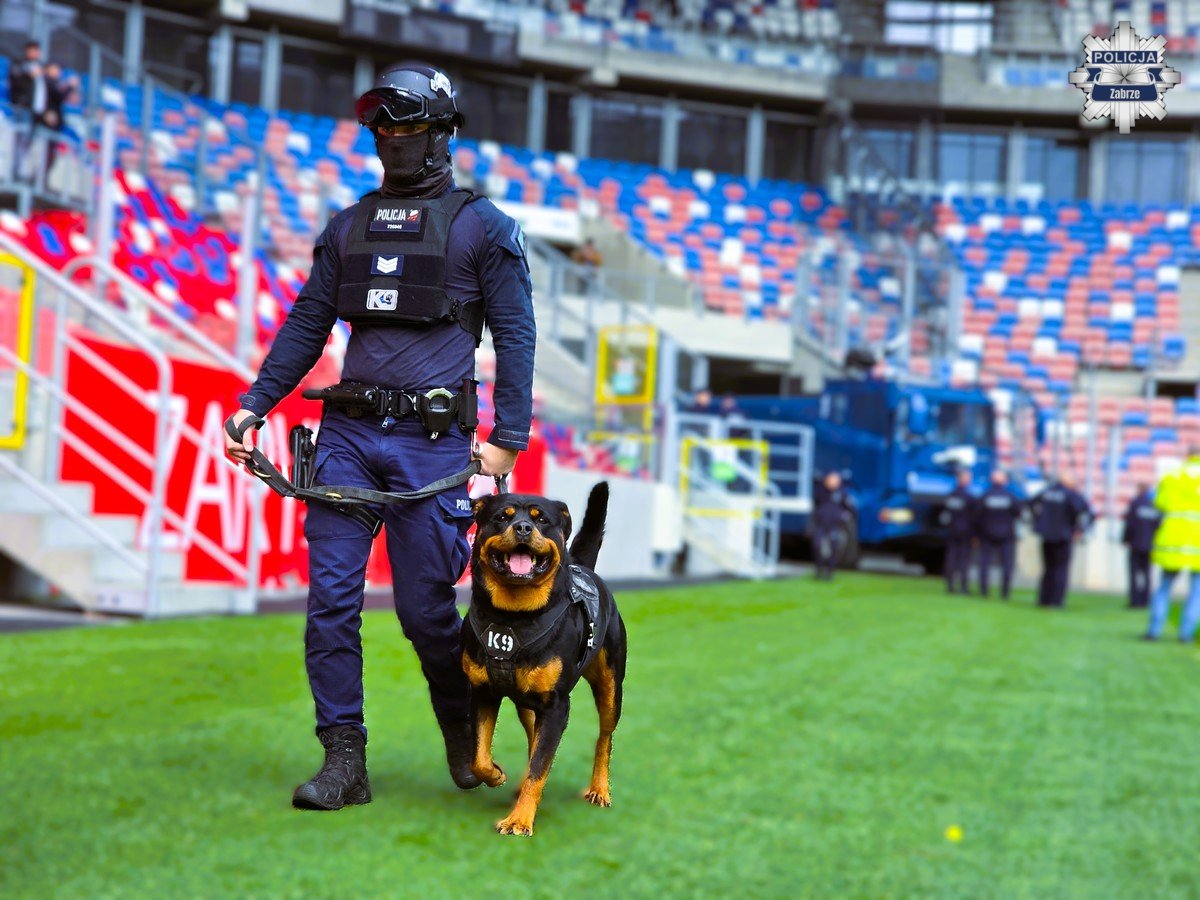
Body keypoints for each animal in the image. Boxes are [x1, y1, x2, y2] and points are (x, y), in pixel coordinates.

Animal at [461, 482, 626, 836]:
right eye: (502, 517)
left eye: (541, 520)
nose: (523, 528)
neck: (513, 615)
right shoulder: (483, 691)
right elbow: (478, 755)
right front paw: (495, 774)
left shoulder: (556, 705)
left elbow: (540, 765)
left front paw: (519, 820)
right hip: (527, 704)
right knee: (532, 735)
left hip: (610, 685)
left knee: (604, 737)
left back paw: (599, 789)